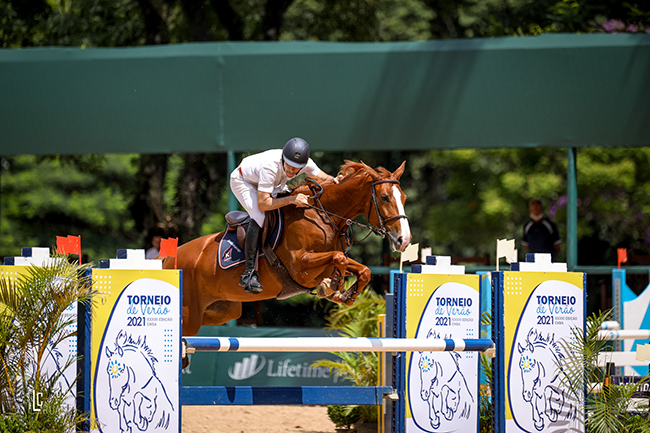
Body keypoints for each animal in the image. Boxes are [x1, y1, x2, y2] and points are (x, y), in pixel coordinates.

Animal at [165, 160, 412, 336]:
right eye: (384, 197)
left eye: (404, 198)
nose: (404, 240)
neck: (322, 215)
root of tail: (170, 259)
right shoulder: (300, 266)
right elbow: (339, 258)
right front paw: (332, 287)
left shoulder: (322, 262)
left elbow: (362, 269)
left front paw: (343, 293)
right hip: (190, 313)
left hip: (222, 310)